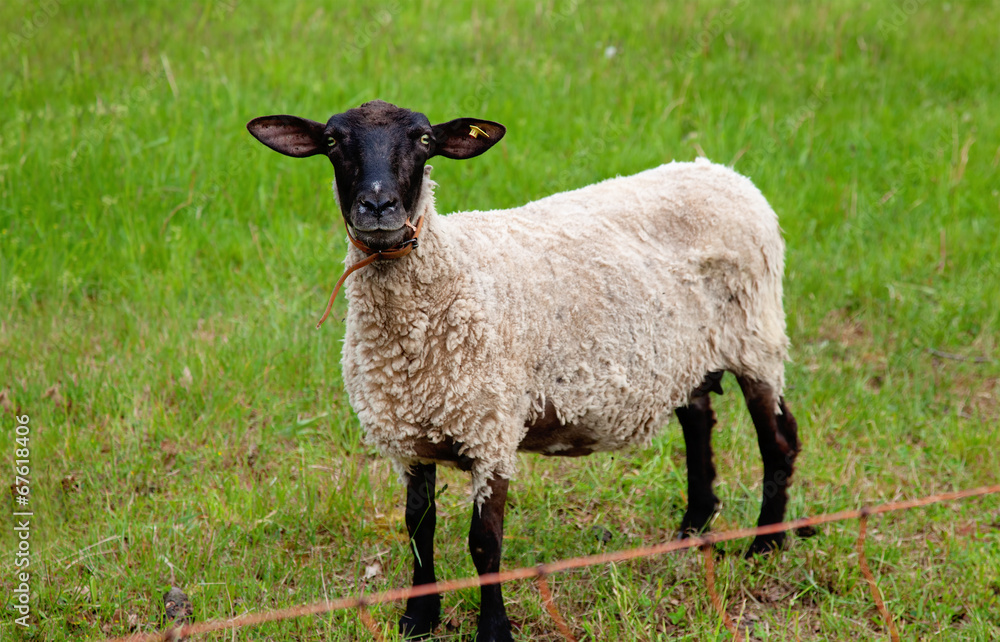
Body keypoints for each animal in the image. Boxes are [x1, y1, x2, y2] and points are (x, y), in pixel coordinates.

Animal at [247, 99, 800, 642]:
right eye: (332, 141)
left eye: (424, 140)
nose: (378, 208)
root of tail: (721, 172)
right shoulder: (410, 437)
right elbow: (418, 527)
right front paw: (419, 618)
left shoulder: (490, 430)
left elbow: (485, 543)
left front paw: (494, 630)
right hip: (684, 353)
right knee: (699, 420)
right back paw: (692, 529)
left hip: (756, 337)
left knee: (777, 439)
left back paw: (765, 544)